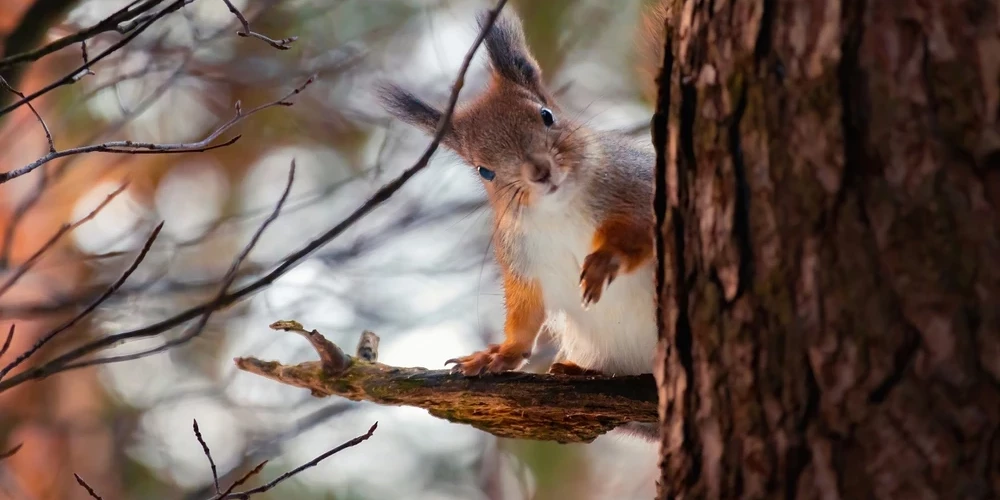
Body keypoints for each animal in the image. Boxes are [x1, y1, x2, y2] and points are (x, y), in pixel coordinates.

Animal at [378, 8, 668, 442]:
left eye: (547, 115)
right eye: (484, 170)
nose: (539, 171)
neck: (560, 211)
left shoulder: (640, 187)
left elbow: (640, 235)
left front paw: (606, 261)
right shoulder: (523, 260)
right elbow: (525, 312)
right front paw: (498, 354)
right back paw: (578, 370)